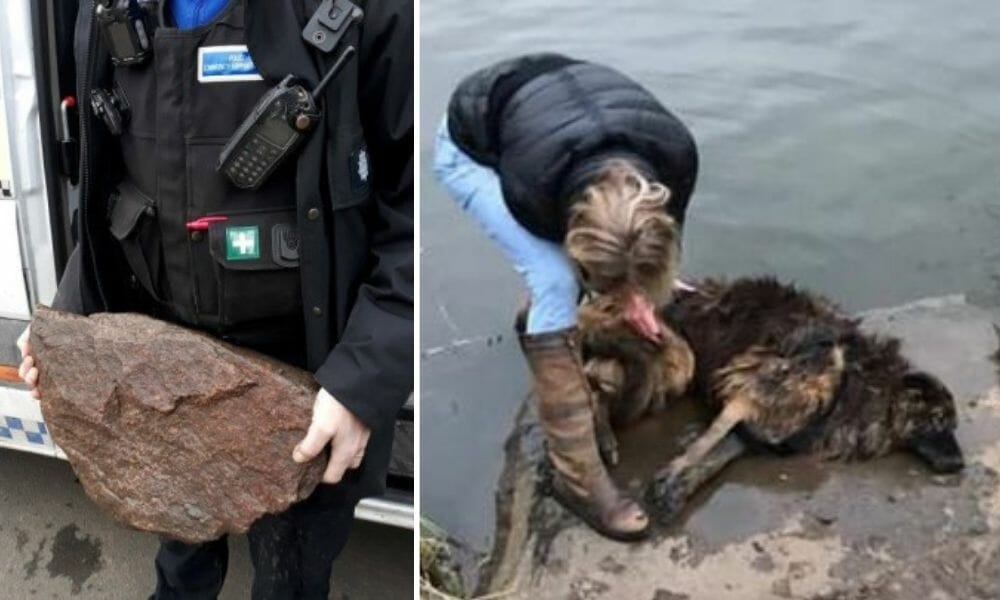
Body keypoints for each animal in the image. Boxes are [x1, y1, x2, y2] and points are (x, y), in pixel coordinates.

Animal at [580, 278, 968, 516]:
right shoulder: (750, 383)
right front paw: (672, 474)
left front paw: (680, 485)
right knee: (593, 383)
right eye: (938, 420)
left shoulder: (756, 423)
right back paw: (602, 439)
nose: (960, 464)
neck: (860, 382)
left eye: (952, 424)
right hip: (674, 358)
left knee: (597, 381)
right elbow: (708, 442)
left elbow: (717, 455)